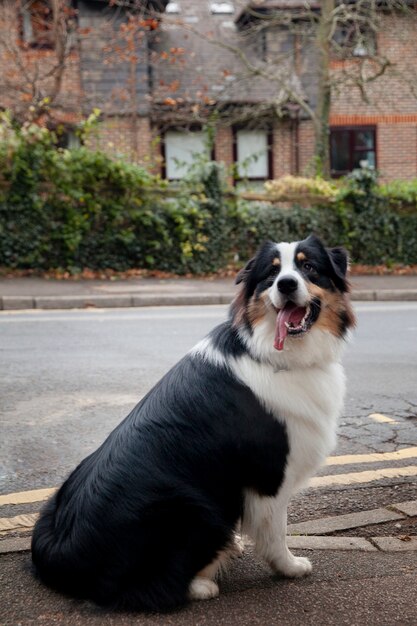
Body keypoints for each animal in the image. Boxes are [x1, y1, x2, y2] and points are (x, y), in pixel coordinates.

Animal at [31, 234, 354, 608]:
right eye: (272, 275)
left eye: (309, 267)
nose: (286, 284)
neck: (271, 352)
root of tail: (60, 556)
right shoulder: (270, 475)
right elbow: (276, 531)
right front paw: (289, 567)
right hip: (198, 507)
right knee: (155, 586)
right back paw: (203, 583)